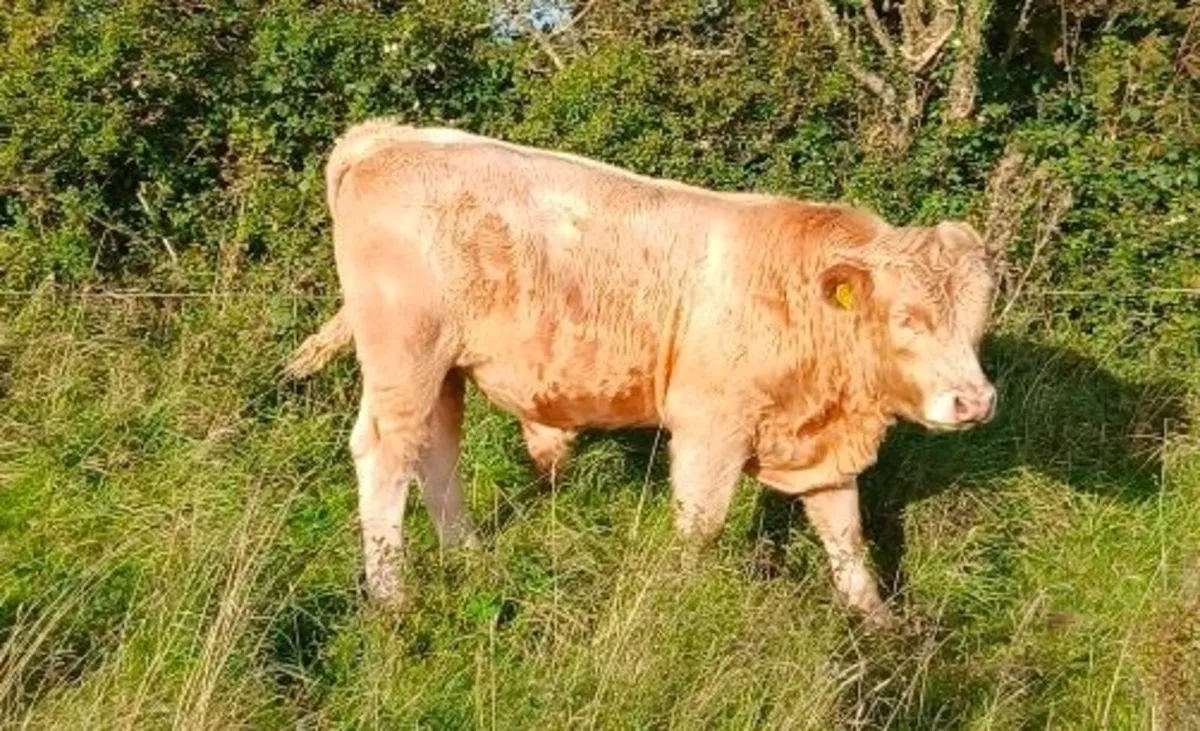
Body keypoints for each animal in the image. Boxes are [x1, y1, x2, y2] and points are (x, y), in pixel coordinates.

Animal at [285, 119, 998, 625]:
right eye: (907, 318)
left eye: (978, 316)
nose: (974, 401)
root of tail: (390, 137)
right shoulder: (710, 426)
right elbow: (701, 525)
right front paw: (683, 603)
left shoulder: (821, 444)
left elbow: (845, 536)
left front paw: (879, 627)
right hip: (404, 357)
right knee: (384, 456)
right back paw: (392, 597)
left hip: (444, 371)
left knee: (434, 457)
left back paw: (471, 559)